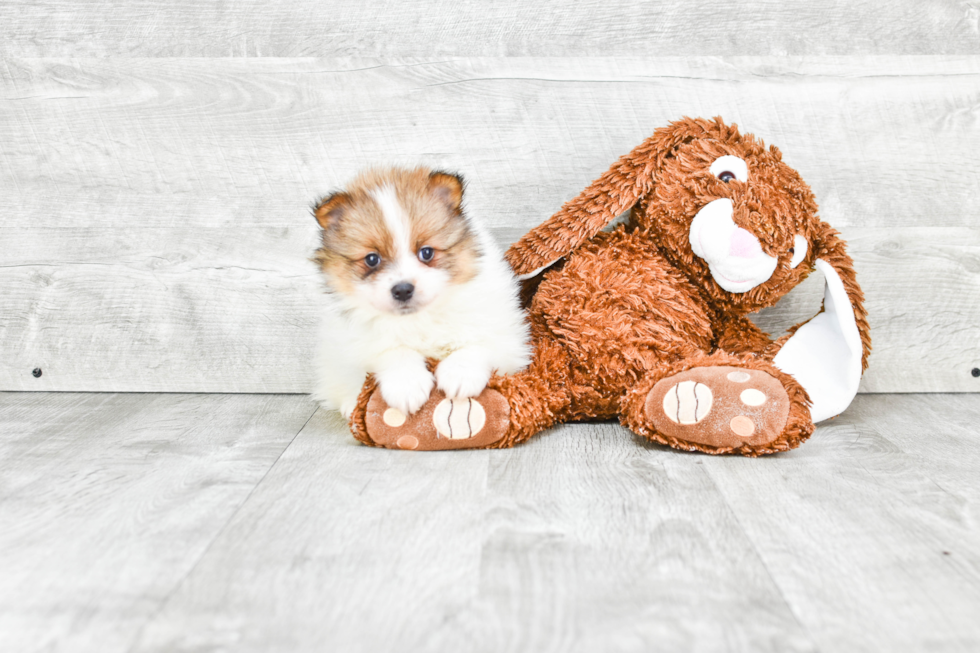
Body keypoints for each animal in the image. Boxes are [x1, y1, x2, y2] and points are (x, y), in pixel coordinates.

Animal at [312, 167, 528, 418]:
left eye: (426, 252)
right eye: (372, 259)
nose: (403, 289)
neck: (419, 319)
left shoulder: (506, 336)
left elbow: (478, 345)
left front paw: (460, 374)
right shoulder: (356, 343)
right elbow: (393, 350)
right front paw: (407, 386)